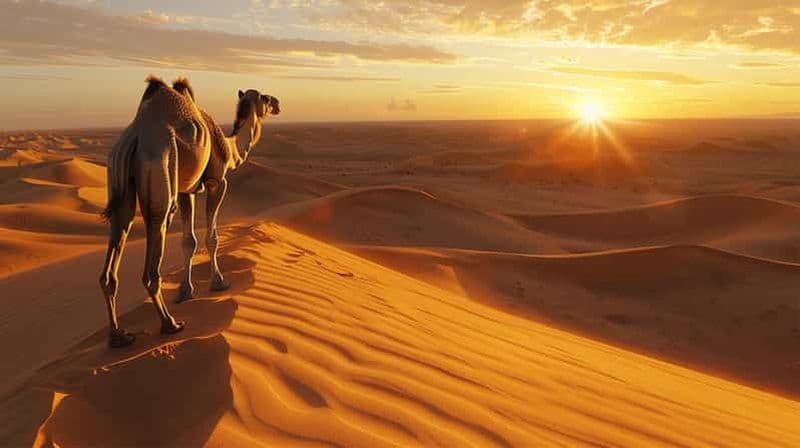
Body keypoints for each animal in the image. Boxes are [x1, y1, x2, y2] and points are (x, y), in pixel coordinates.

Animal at [99, 76, 280, 348]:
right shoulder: (217, 181)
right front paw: (219, 282)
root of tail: (136, 137)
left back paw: (119, 336)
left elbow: (188, 241)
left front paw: (186, 291)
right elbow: (211, 237)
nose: (277, 103)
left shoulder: (187, 191)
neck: (230, 148)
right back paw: (170, 324)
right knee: (153, 257)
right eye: (265, 98)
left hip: (119, 181)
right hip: (161, 174)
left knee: (116, 242)